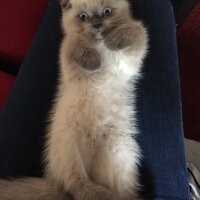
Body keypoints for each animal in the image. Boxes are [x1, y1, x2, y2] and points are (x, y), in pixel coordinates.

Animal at [0, 0, 147, 200]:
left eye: (107, 11)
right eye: (83, 16)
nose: (97, 25)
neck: (98, 44)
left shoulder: (130, 61)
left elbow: (137, 29)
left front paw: (113, 41)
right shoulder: (67, 57)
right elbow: (73, 43)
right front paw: (95, 62)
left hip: (123, 157)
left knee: (120, 192)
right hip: (70, 151)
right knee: (77, 185)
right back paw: (102, 195)